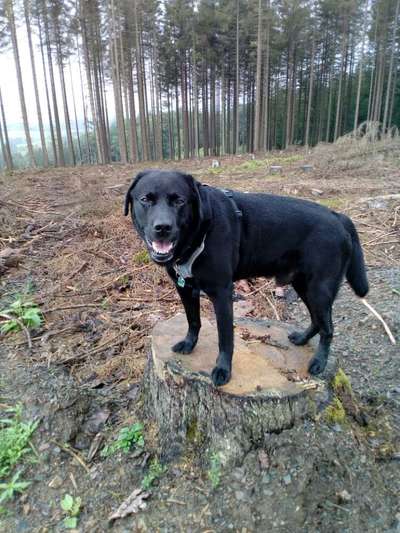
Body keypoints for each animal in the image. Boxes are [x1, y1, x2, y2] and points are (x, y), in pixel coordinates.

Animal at [125, 170, 368, 386]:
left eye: (180, 201)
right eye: (145, 199)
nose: (162, 227)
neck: (201, 230)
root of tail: (338, 216)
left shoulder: (222, 293)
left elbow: (225, 338)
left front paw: (223, 369)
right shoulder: (184, 288)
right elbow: (193, 321)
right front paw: (189, 344)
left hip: (320, 289)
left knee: (328, 328)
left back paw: (319, 362)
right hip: (303, 285)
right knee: (318, 320)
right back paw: (301, 339)